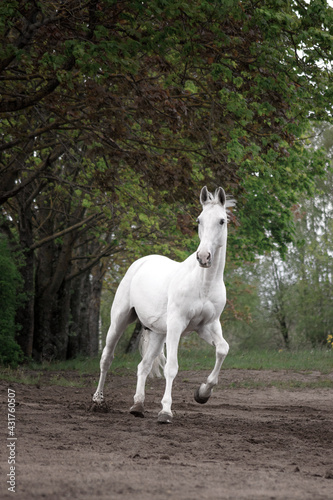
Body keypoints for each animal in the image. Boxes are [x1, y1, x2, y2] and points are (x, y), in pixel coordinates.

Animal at [92, 187, 233, 422]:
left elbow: (223, 349)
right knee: (107, 358)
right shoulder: (177, 325)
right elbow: (172, 367)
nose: (204, 257)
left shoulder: (208, 326)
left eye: (222, 220)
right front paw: (165, 411)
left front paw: (202, 393)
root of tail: (142, 262)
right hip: (119, 321)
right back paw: (98, 401)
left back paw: (137, 406)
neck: (203, 283)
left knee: (143, 366)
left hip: (158, 334)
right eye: (199, 220)